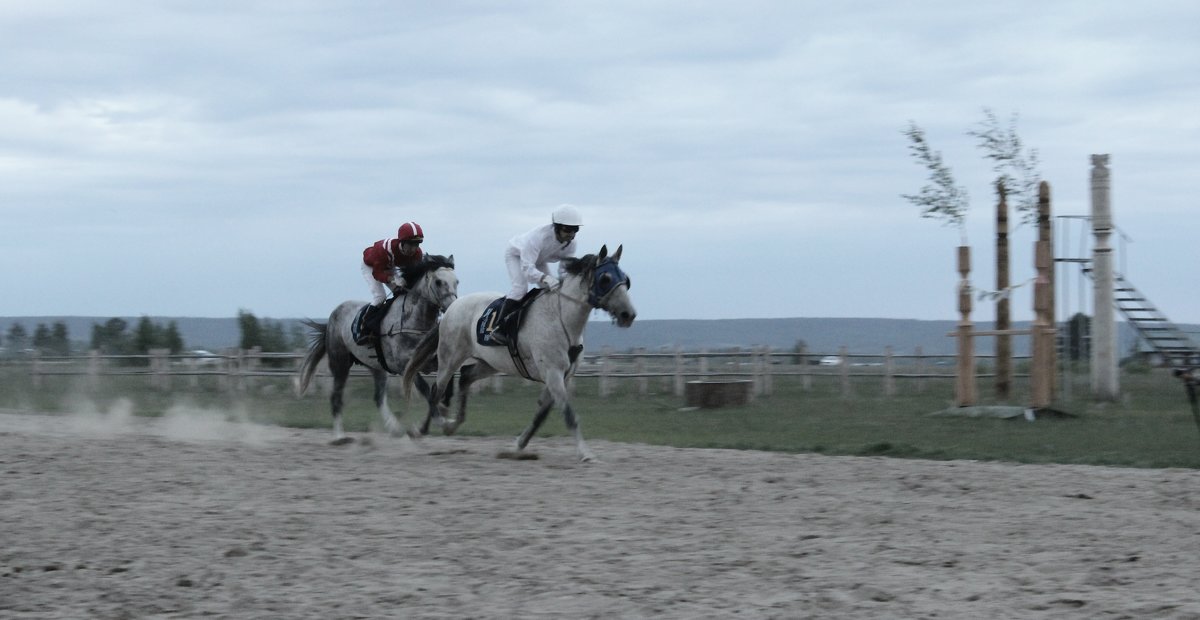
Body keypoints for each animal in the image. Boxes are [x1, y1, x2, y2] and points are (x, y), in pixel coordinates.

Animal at [297, 254, 456, 441]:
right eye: (438, 282)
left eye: (456, 281)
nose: (453, 307)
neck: (413, 322)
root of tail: (332, 318)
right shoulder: (405, 366)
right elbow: (426, 389)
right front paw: (440, 421)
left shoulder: (434, 362)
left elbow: (445, 383)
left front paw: (442, 415)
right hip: (340, 362)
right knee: (336, 396)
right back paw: (339, 436)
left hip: (377, 367)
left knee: (378, 397)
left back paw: (395, 428)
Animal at [403, 244, 638, 460]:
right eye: (605, 278)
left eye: (625, 279)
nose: (628, 314)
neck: (561, 317)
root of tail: (452, 307)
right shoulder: (553, 373)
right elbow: (569, 415)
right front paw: (585, 453)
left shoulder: (562, 376)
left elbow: (541, 413)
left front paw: (518, 445)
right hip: (449, 358)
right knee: (436, 391)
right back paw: (424, 429)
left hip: (489, 363)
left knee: (466, 378)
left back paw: (453, 424)